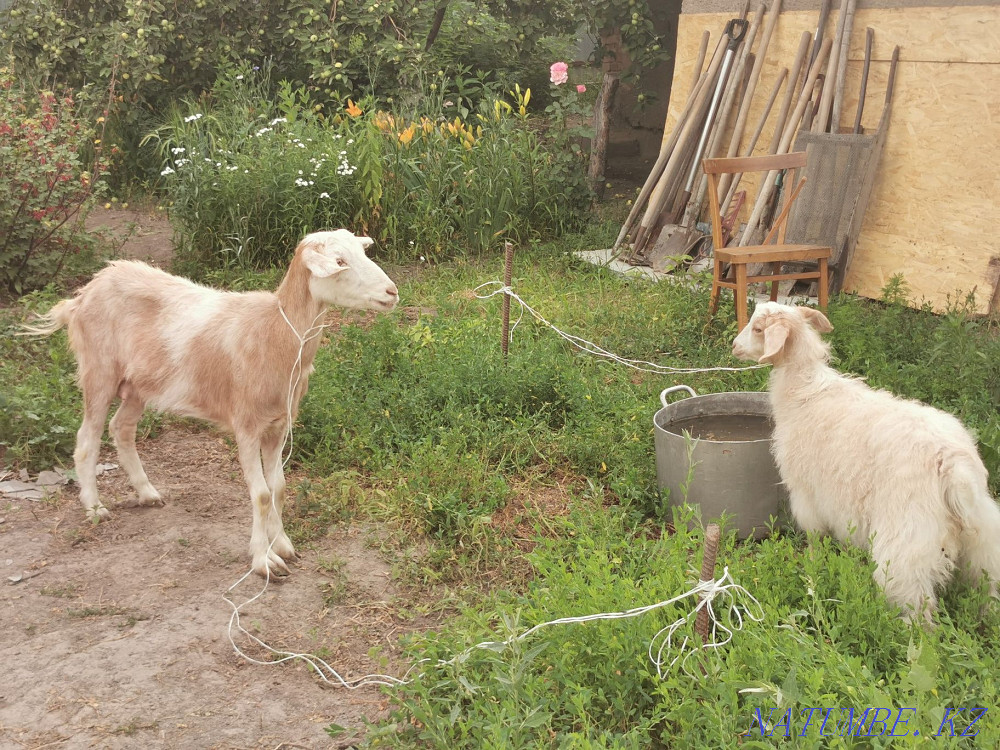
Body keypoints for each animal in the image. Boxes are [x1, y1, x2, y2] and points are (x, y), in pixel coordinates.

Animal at [23, 229, 398, 578]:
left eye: (361, 253)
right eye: (339, 261)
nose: (392, 292)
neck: (275, 331)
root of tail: (85, 293)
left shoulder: (279, 424)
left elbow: (278, 488)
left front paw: (283, 545)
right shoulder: (246, 425)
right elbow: (261, 494)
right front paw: (262, 561)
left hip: (138, 385)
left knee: (122, 428)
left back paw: (147, 492)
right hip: (98, 370)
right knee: (87, 439)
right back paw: (95, 508)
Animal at [732, 302, 1000, 622]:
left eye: (759, 329)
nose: (734, 346)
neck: (805, 393)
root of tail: (953, 467)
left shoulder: (806, 491)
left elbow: (815, 533)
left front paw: (812, 562)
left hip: (908, 538)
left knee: (917, 605)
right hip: (983, 537)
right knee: (987, 586)